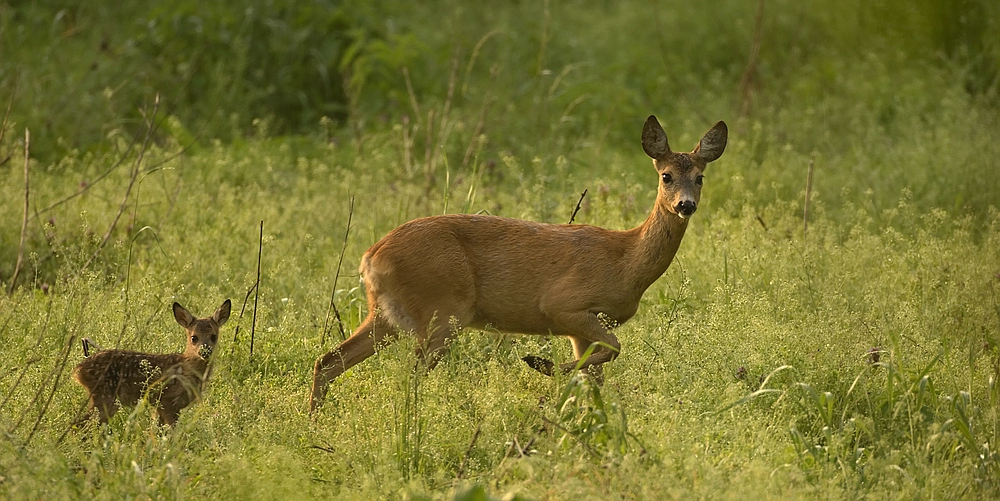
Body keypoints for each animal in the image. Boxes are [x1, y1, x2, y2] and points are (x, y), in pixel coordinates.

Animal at [310, 116, 728, 410]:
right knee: (409, 374)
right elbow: (612, 350)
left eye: (700, 178)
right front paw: (539, 363)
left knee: (328, 360)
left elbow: (595, 371)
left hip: (387, 314)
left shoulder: (583, 325)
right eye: (666, 175)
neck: (626, 259)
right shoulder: (564, 305)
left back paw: (315, 421)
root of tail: (370, 257)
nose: (685, 205)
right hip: (442, 310)